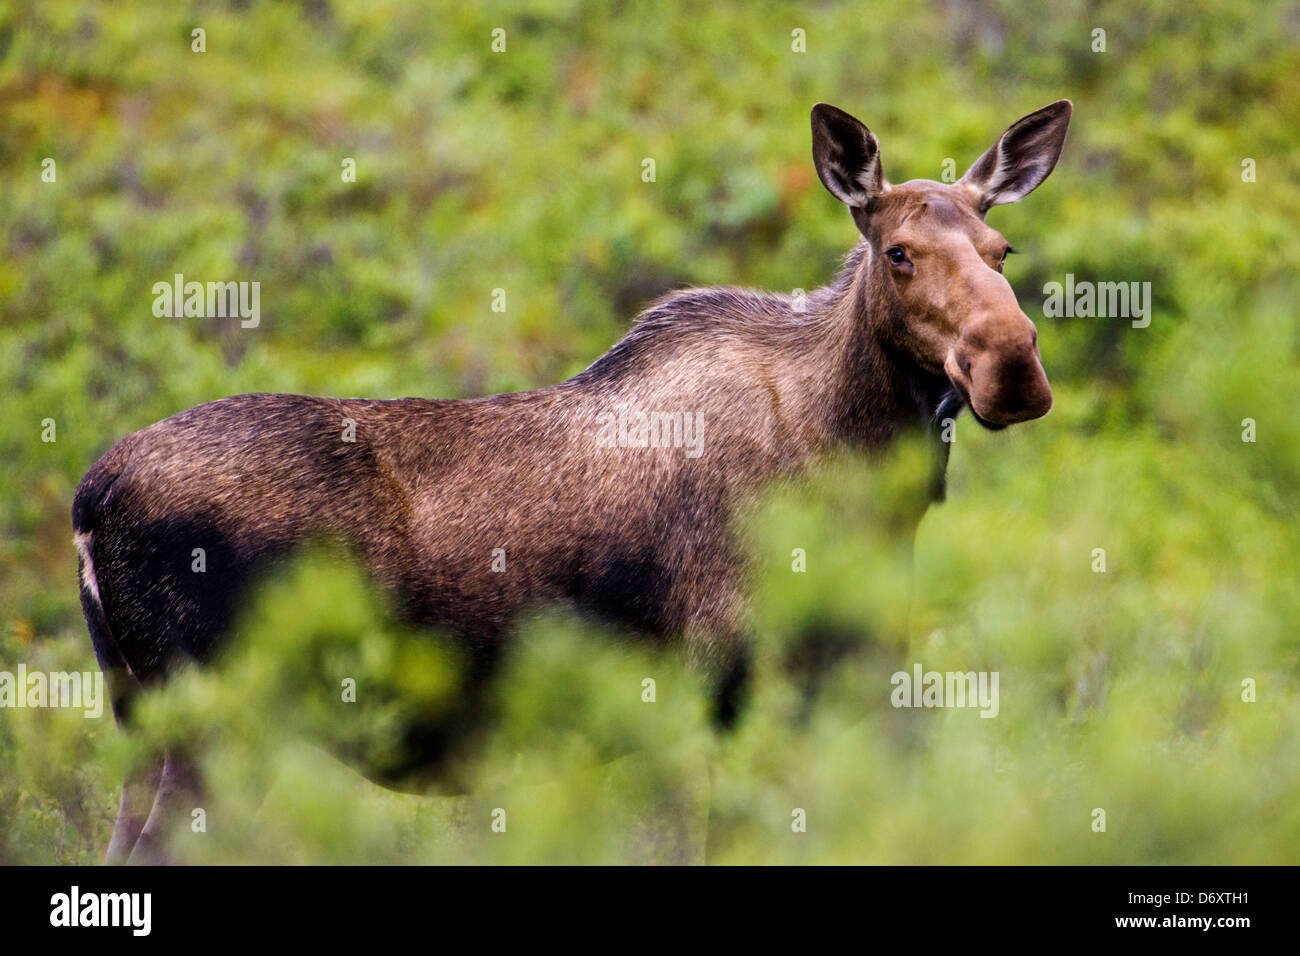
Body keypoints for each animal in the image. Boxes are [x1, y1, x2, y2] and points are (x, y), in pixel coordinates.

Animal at [76, 100, 1076, 863]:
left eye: (1004, 249)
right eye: (899, 252)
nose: (1012, 364)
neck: (860, 469)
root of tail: (90, 500)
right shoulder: (710, 685)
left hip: (142, 720)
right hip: (217, 721)